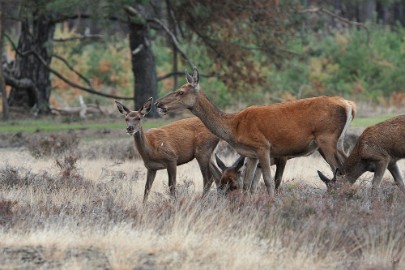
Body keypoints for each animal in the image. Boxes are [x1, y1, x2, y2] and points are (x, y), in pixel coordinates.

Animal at [155, 68, 356, 197]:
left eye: (181, 92)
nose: (158, 103)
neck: (234, 128)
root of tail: (349, 105)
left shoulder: (263, 146)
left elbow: (268, 180)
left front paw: (272, 202)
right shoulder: (250, 154)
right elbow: (247, 184)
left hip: (326, 138)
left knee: (341, 170)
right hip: (337, 141)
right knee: (347, 164)